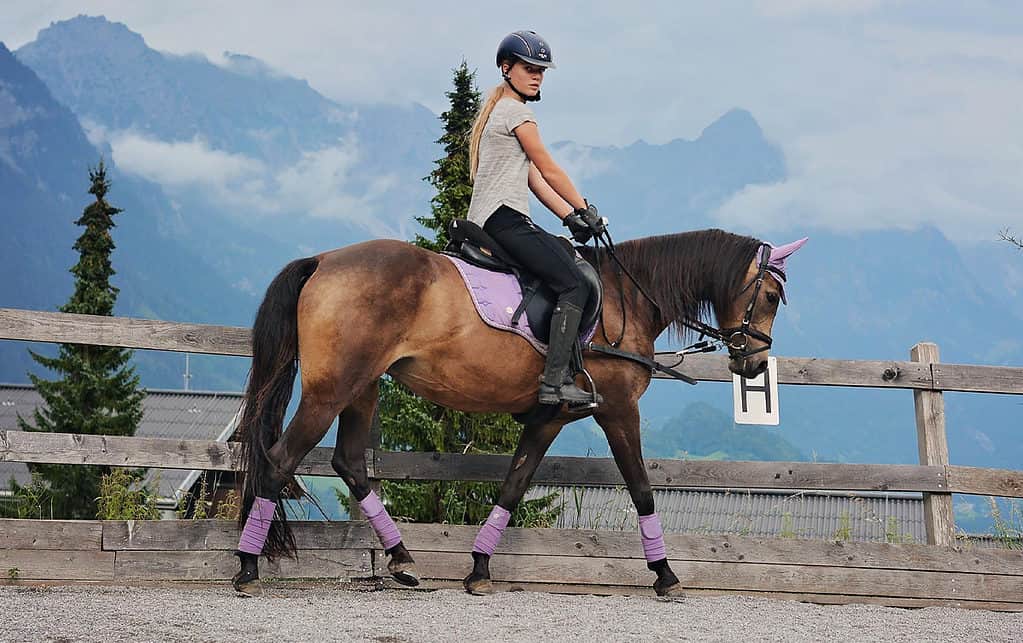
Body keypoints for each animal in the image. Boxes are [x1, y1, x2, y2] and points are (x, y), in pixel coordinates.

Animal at [230, 227, 807, 597]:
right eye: (770, 296)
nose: (755, 364)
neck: (626, 299)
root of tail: (324, 260)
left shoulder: (547, 419)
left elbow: (513, 484)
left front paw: (480, 569)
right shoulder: (619, 411)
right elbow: (641, 488)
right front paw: (665, 575)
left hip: (362, 388)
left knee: (349, 463)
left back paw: (403, 562)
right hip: (330, 391)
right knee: (279, 460)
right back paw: (248, 567)